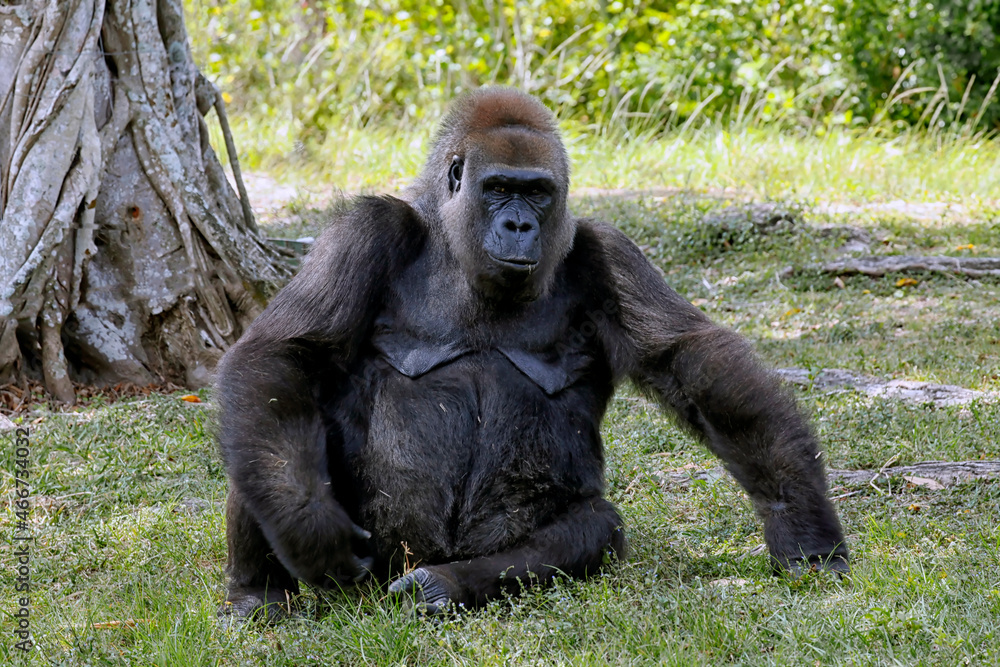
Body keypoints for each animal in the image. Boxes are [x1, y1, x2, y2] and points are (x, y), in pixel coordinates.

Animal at [215, 87, 848, 620]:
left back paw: (448, 586)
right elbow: (285, 353)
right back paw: (258, 597)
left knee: (592, 528)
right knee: (277, 427)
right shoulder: (366, 229)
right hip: (378, 555)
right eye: (498, 187)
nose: (520, 224)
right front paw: (306, 523)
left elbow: (691, 361)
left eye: (538, 192)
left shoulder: (607, 251)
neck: (453, 241)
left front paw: (803, 527)